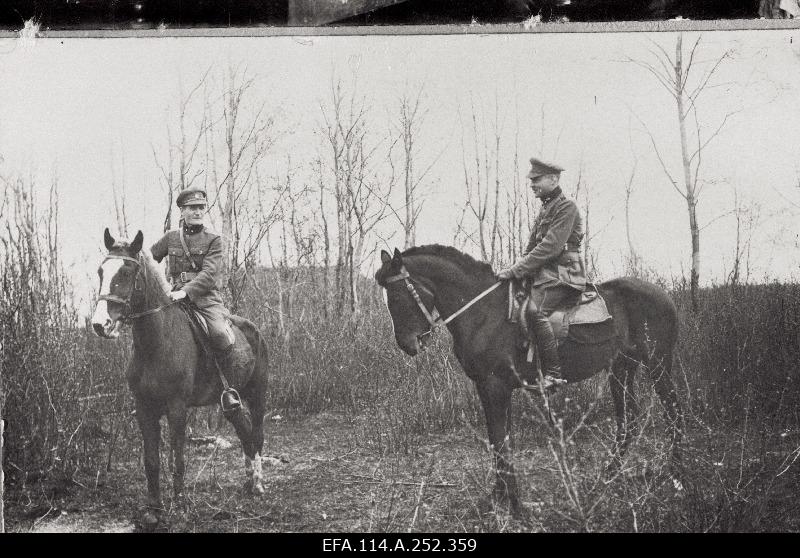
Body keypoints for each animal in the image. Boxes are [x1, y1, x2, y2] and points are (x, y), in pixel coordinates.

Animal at [91, 230, 268, 532]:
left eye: (126, 272)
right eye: (102, 271)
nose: (100, 324)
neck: (157, 342)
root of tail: (254, 329)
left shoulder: (177, 409)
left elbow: (178, 458)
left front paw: (180, 505)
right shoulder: (144, 409)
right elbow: (152, 460)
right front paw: (153, 510)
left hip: (257, 395)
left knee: (256, 434)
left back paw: (256, 483)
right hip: (229, 402)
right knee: (244, 430)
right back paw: (247, 481)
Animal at [376, 247, 680, 520]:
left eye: (399, 295)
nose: (407, 344)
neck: (484, 312)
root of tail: (665, 295)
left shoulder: (495, 387)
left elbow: (500, 442)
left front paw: (513, 504)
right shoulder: (490, 389)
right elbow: (499, 440)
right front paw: (499, 497)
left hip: (658, 364)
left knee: (673, 412)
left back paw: (675, 474)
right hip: (621, 368)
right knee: (628, 420)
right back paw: (606, 477)